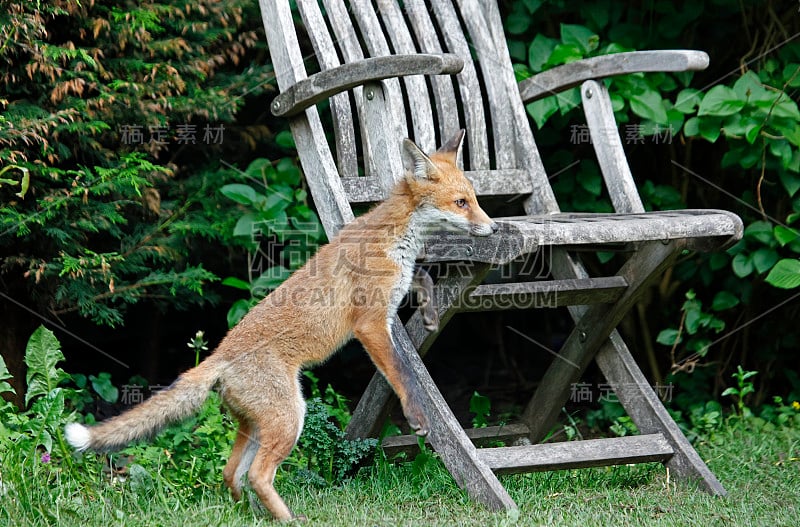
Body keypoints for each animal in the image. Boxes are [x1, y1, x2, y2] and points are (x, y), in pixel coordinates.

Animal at [65, 130, 496, 520]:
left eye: (475, 199)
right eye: (461, 203)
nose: (493, 229)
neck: (394, 236)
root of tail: (218, 356)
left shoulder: (396, 287)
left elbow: (421, 275)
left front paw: (429, 312)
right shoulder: (370, 325)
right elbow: (402, 375)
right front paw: (417, 417)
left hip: (258, 424)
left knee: (231, 473)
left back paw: (254, 515)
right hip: (290, 417)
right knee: (257, 475)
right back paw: (286, 519)